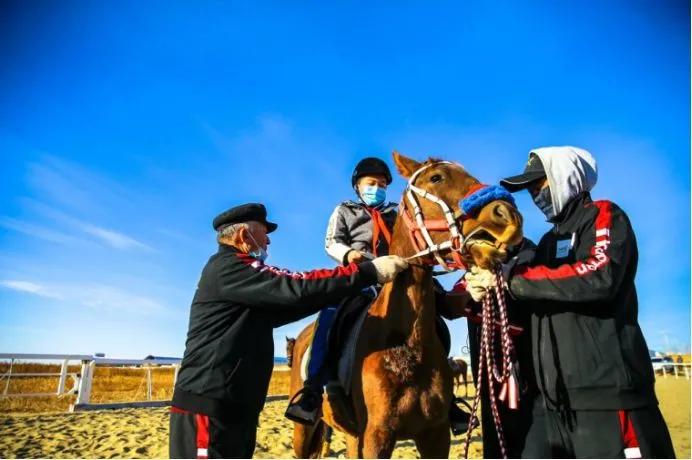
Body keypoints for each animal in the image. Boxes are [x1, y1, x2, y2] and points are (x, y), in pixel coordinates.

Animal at [290, 151, 520, 456]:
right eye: (436, 178)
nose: (507, 215)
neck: (407, 346)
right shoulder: (376, 438)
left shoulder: (435, 435)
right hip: (304, 432)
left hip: (352, 436)